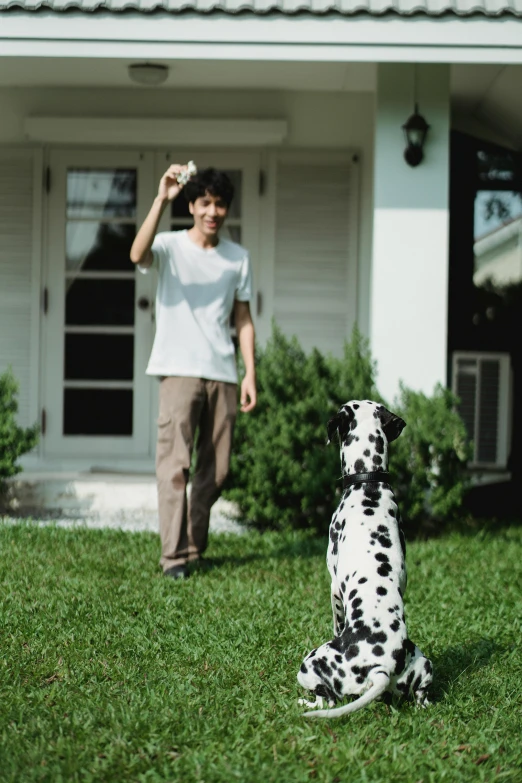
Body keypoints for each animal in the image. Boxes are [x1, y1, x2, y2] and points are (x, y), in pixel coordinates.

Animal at [296, 402, 430, 720]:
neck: (369, 483)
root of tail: (381, 669)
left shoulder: (334, 588)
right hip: (424, 666)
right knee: (423, 696)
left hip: (309, 665)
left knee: (326, 700)